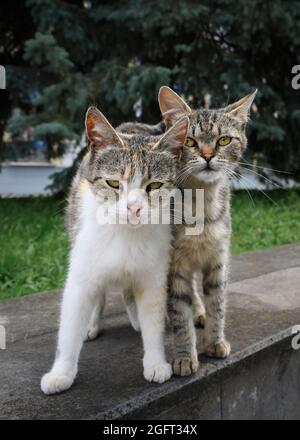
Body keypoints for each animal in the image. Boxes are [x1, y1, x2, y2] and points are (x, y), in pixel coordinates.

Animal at [41, 106, 189, 396]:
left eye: (154, 186)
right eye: (113, 183)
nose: (134, 207)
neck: (124, 234)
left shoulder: (153, 275)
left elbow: (152, 319)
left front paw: (155, 361)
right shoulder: (81, 275)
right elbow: (70, 325)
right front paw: (61, 372)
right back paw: (92, 324)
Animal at [158, 86, 256, 374]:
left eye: (224, 140)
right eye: (190, 142)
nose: (208, 156)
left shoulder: (218, 258)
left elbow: (217, 304)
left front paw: (214, 341)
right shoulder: (174, 263)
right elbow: (180, 313)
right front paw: (184, 356)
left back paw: (199, 312)